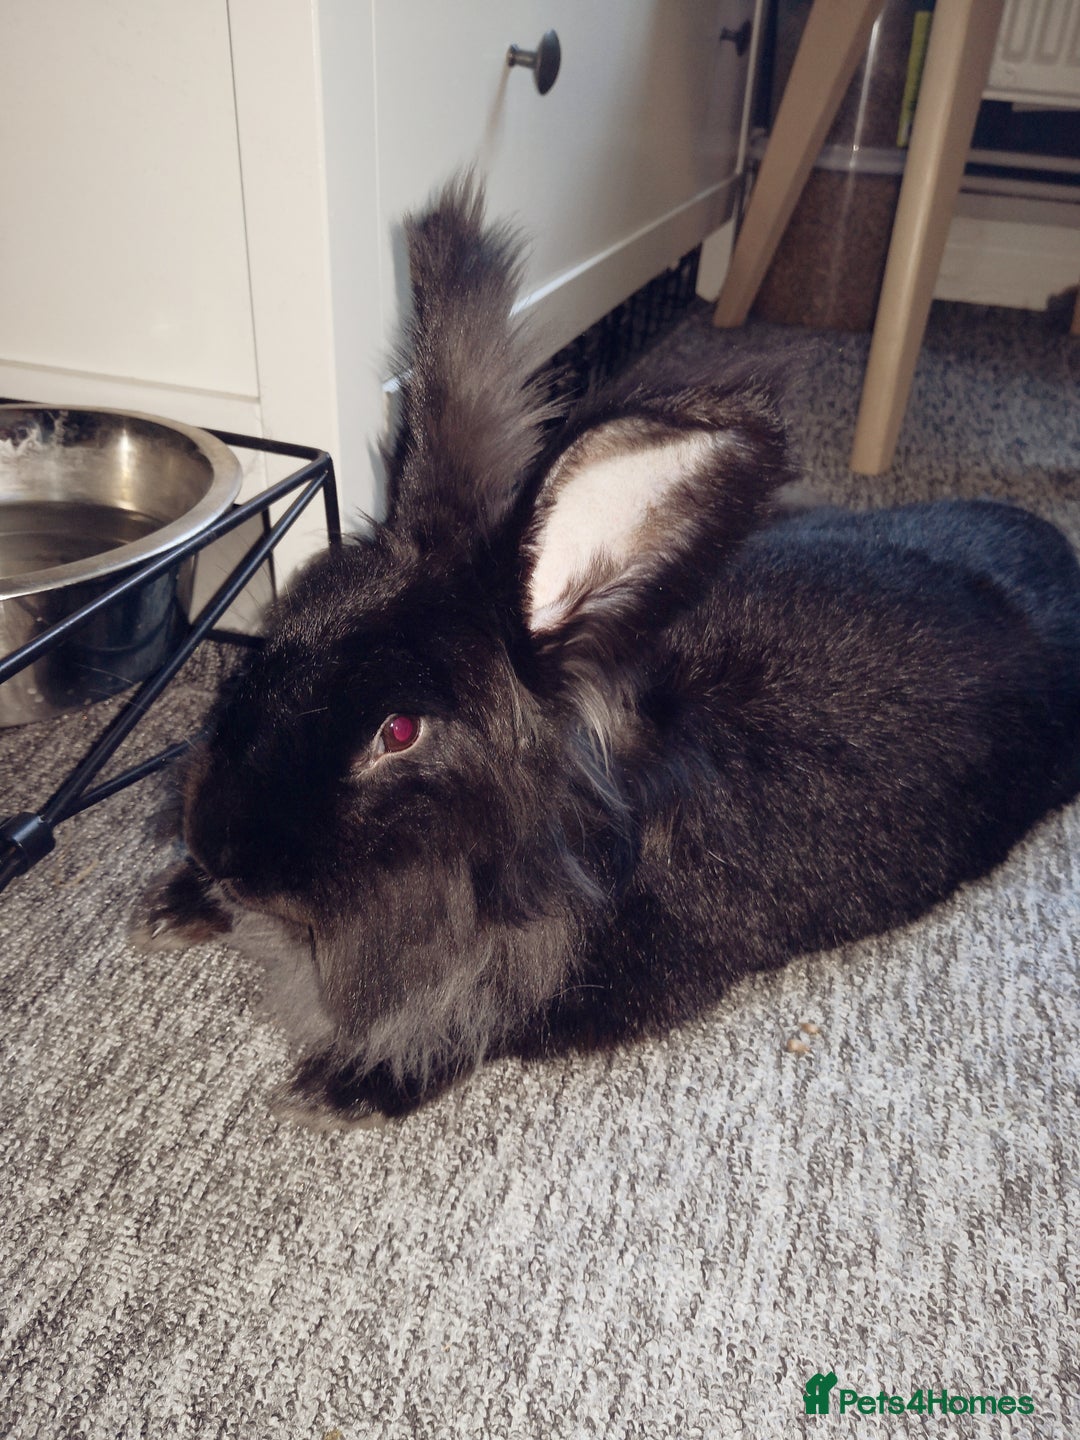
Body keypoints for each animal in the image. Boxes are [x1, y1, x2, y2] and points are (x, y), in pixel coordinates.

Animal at [137, 176, 1080, 1127]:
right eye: (277, 636)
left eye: (398, 732)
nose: (217, 846)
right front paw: (174, 906)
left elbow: (480, 1021)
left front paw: (344, 1084)